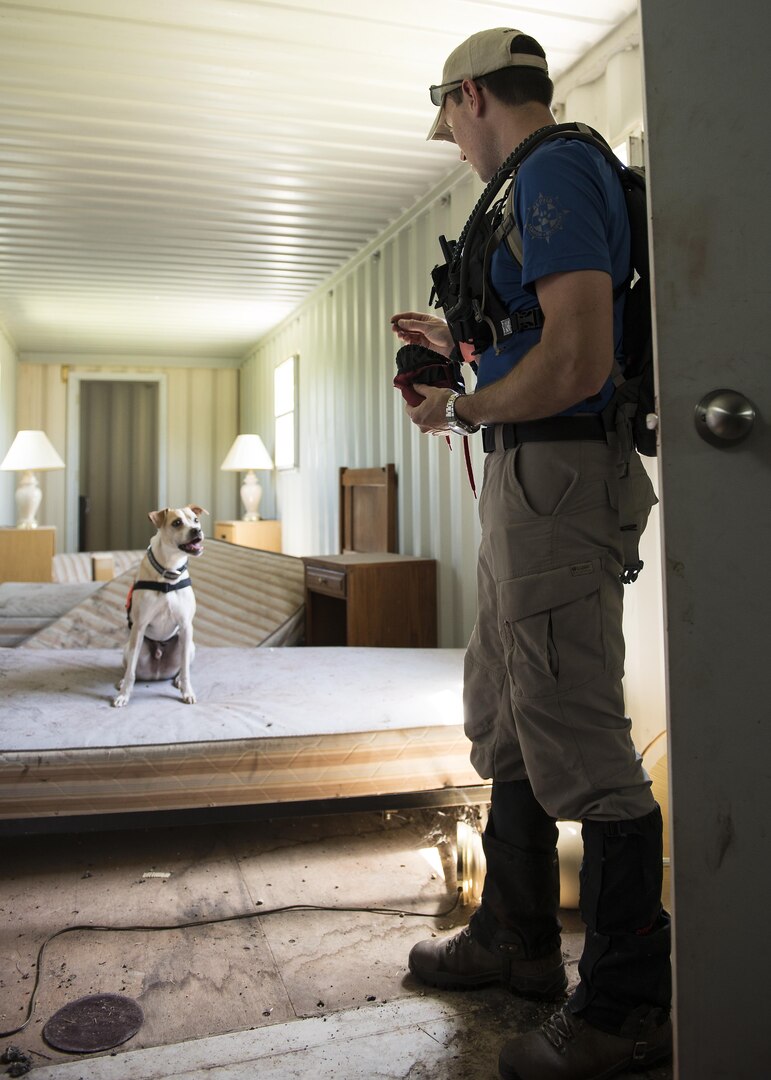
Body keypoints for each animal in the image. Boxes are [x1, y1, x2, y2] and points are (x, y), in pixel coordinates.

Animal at [112, 505, 206, 708]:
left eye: (196, 520)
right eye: (177, 522)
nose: (197, 530)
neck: (169, 571)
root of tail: (158, 672)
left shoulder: (186, 626)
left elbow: (185, 670)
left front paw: (187, 691)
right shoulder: (139, 627)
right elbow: (131, 672)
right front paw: (124, 695)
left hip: (188, 645)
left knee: (182, 666)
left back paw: (178, 680)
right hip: (129, 648)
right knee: (131, 668)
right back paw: (123, 681)